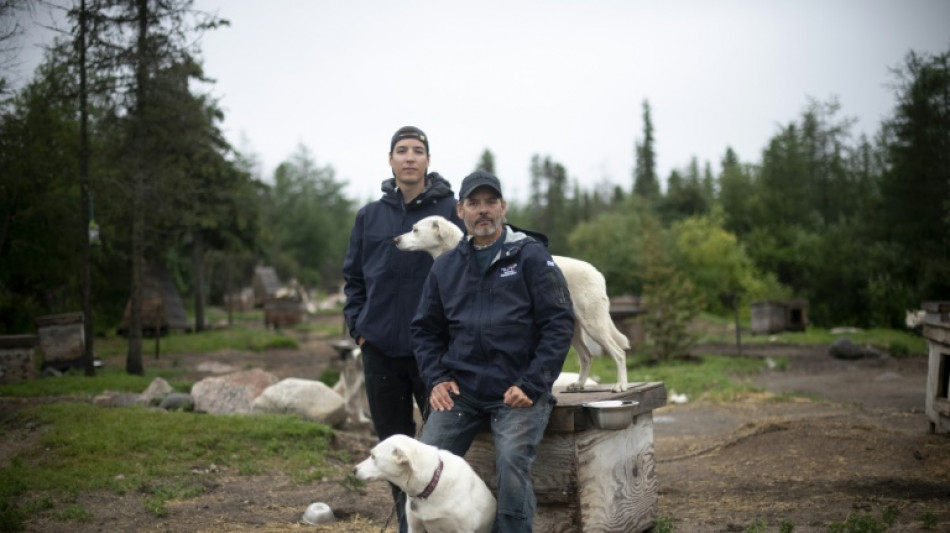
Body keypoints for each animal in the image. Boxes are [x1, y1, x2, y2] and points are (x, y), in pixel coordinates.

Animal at [394, 214, 632, 392]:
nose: (395, 240)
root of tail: (597, 273)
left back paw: (620, 386)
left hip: (594, 324)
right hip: (572, 328)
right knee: (587, 356)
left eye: (415, 229)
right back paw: (579, 384)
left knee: (619, 353)